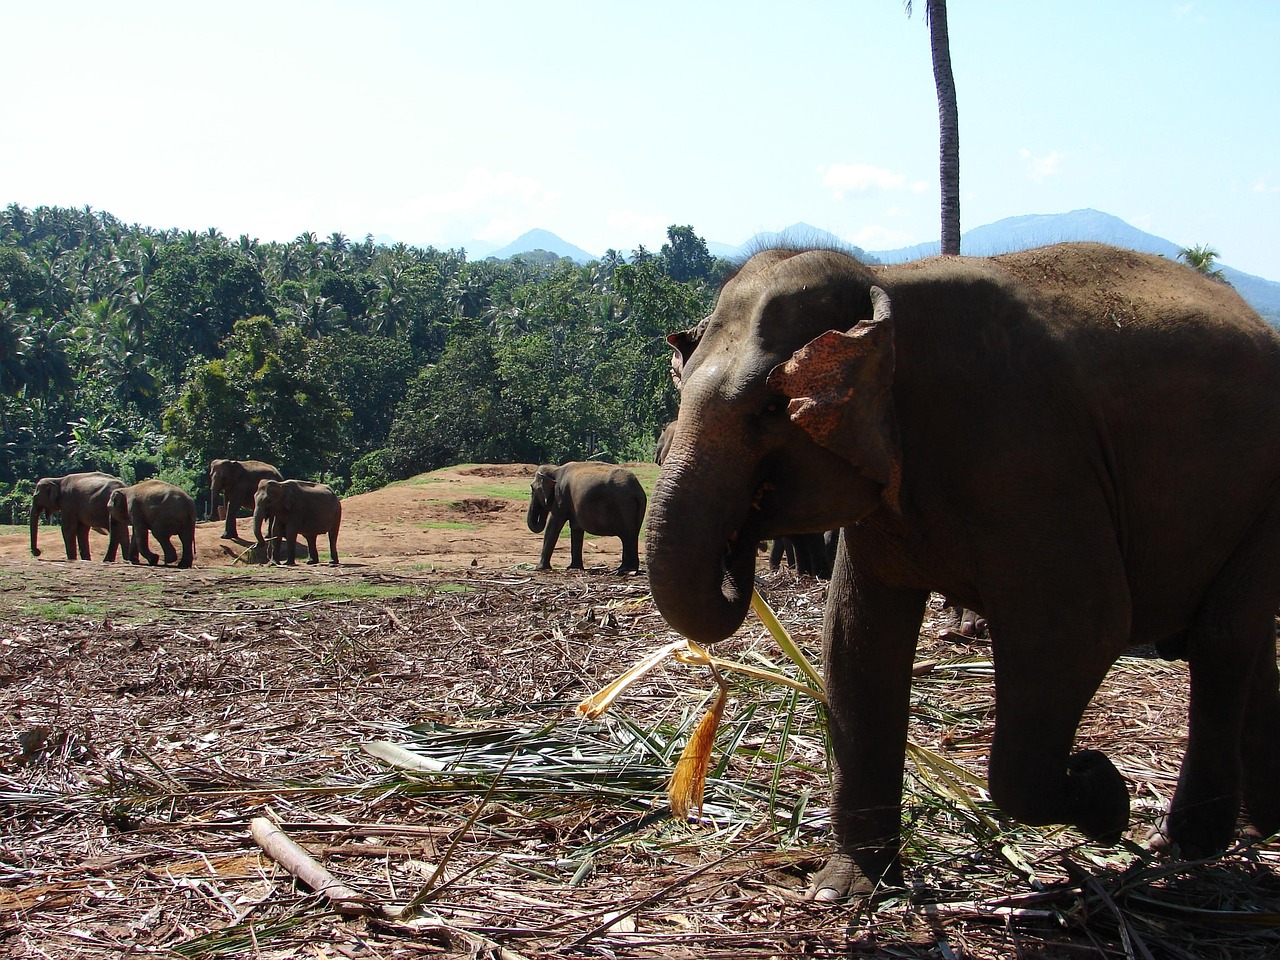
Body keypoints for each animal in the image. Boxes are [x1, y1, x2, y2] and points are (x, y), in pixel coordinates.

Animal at [645, 240, 1280, 901]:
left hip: (1267, 495)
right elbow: (856, 641)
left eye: (771, 408)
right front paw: (845, 889)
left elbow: (1081, 631)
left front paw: (1105, 796)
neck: (885, 284)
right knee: (1245, 642)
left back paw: (1182, 845)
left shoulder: (1029, 453)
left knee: (1221, 642)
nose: (741, 542)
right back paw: (1250, 830)